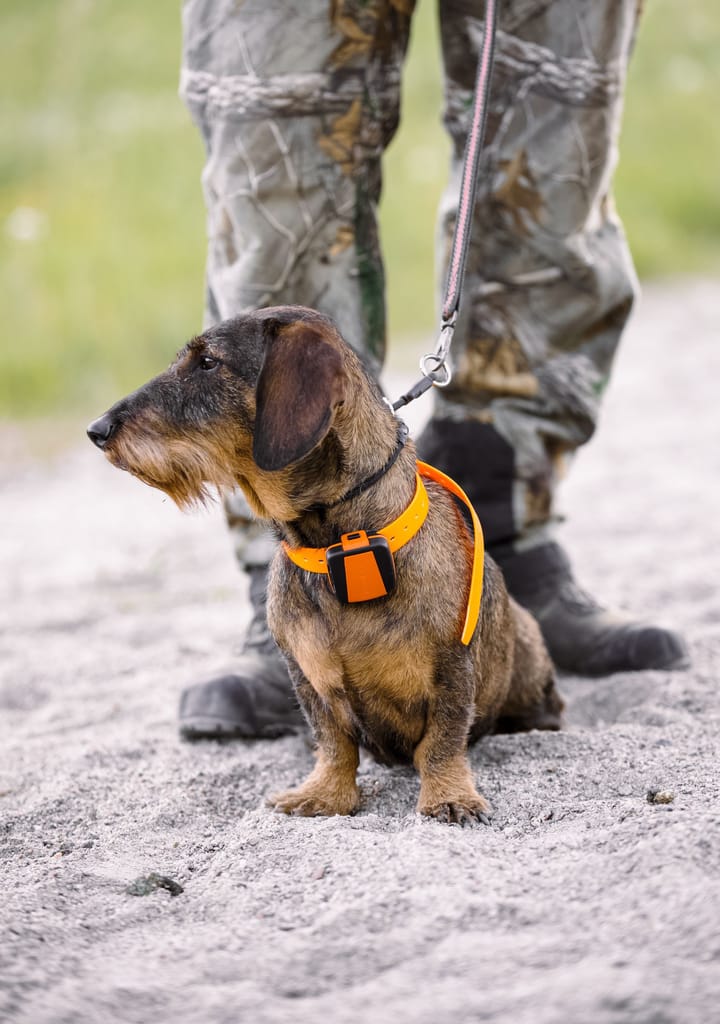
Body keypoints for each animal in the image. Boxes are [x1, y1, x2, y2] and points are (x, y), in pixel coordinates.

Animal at [88, 303, 565, 823]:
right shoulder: (306, 675)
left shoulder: (451, 667)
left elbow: (443, 739)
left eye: (208, 362)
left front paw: (449, 795)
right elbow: (333, 741)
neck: (345, 546)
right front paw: (324, 792)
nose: (97, 430)